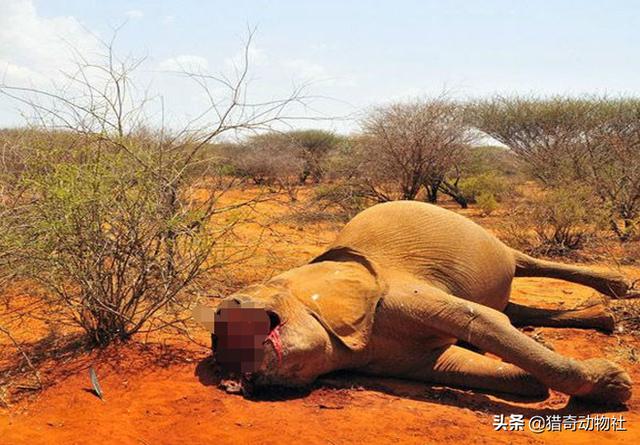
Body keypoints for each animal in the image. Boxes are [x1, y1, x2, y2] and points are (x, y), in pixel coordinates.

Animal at [193, 200, 634, 403]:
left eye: (248, 300)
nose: (233, 381)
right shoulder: (386, 357)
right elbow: (505, 376)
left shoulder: (397, 293)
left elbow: (478, 319)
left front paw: (615, 385)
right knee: (511, 308)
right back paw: (601, 320)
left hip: (491, 243)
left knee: (524, 264)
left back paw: (618, 287)